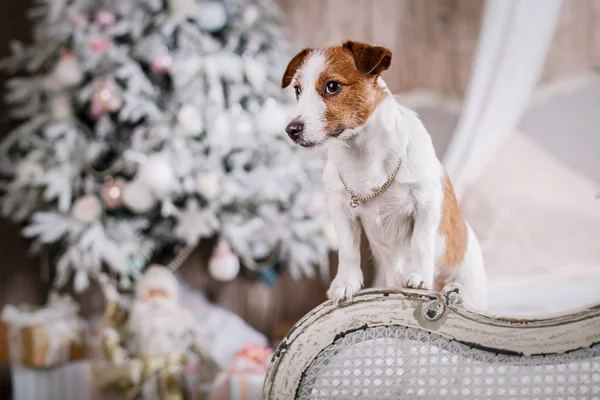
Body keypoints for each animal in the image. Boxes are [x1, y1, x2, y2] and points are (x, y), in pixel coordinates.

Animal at [282, 41, 488, 310]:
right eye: (297, 90)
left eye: (332, 86)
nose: (291, 130)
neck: (363, 153)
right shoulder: (341, 208)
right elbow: (348, 249)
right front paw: (345, 283)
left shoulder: (426, 202)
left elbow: (421, 242)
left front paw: (419, 277)